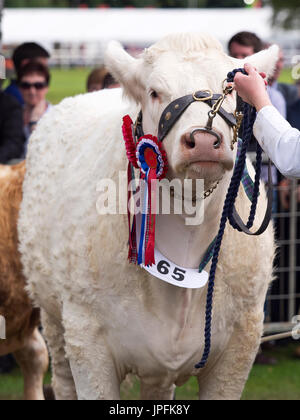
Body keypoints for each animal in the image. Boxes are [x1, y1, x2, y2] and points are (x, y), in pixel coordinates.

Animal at [18, 33, 276, 400]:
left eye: (232, 91)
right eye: (154, 92)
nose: (204, 140)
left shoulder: (242, 341)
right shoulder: (86, 338)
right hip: (53, 316)